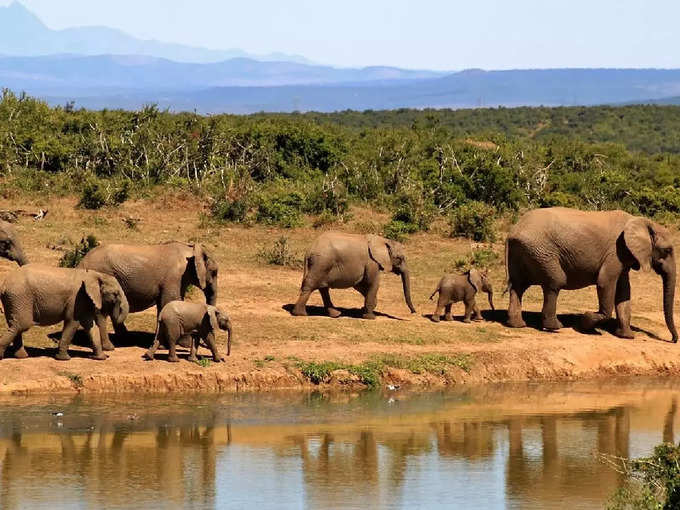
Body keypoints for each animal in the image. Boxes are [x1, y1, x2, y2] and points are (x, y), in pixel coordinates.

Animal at [0, 264, 129, 360]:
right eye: (115, 294)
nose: (109, 353)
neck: (95, 274)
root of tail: (4, 285)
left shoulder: (83, 301)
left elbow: (90, 326)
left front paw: (100, 358)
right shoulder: (77, 298)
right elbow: (73, 323)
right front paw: (64, 359)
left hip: (14, 300)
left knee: (15, 324)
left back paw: (22, 357)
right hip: (20, 297)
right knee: (22, 324)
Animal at [78, 241, 219, 340]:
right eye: (214, 272)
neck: (190, 249)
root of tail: (81, 262)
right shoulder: (174, 277)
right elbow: (169, 302)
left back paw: (125, 337)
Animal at [290, 232, 418, 318]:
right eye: (400, 258)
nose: (413, 312)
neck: (383, 240)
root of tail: (309, 250)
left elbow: (360, 285)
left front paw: (365, 309)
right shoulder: (371, 262)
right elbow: (373, 283)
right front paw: (370, 317)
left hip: (322, 265)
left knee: (323, 288)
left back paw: (336, 314)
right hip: (321, 263)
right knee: (311, 285)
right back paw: (300, 314)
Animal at [504, 207, 676, 342]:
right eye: (667, 250)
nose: (673, 340)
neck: (642, 221)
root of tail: (513, 231)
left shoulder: (624, 255)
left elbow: (624, 292)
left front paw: (627, 336)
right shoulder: (616, 252)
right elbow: (605, 282)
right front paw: (585, 323)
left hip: (524, 251)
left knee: (518, 286)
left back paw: (518, 325)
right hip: (541, 251)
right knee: (555, 282)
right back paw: (555, 327)